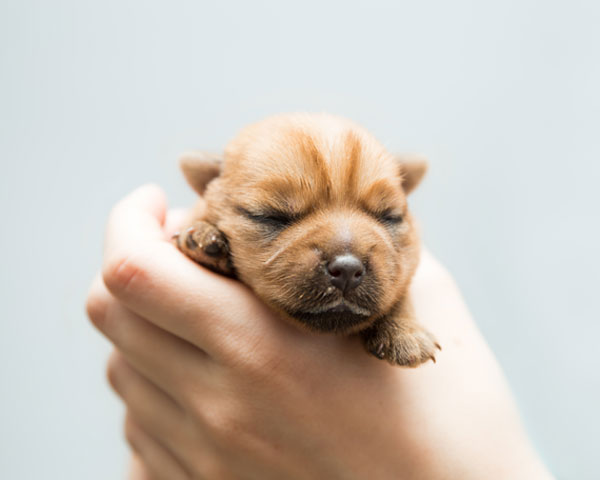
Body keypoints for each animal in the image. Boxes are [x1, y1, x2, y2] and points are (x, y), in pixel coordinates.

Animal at [173, 113, 440, 368]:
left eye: (389, 216)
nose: (347, 270)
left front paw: (405, 333)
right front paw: (203, 236)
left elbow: (400, 288)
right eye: (271, 215)